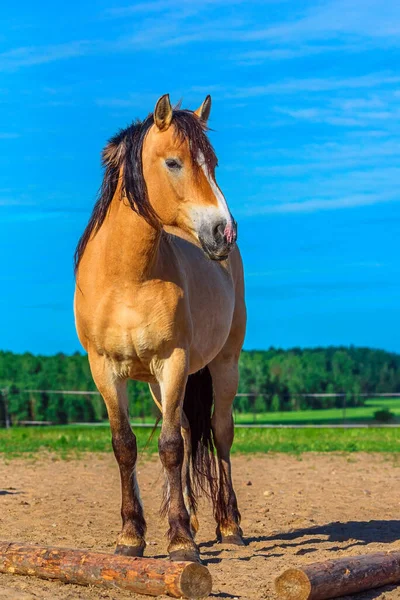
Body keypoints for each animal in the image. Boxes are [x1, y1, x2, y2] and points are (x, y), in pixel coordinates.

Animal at [73, 94, 245, 564]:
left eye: (213, 163)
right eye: (173, 162)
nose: (225, 231)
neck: (127, 278)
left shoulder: (174, 361)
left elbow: (169, 447)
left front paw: (181, 543)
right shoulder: (105, 370)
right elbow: (126, 445)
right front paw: (133, 536)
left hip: (224, 363)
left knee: (220, 433)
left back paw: (228, 525)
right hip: (157, 382)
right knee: (187, 431)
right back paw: (191, 516)